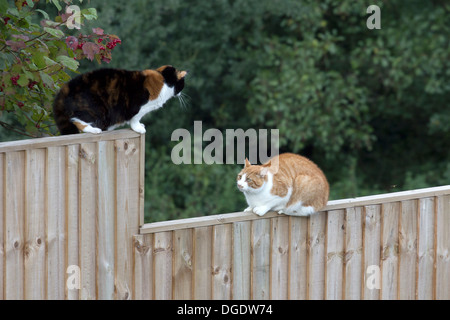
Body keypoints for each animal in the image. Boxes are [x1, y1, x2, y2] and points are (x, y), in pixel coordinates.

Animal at [53, 65, 186, 135]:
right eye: (182, 84)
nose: (181, 93)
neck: (164, 79)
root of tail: (64, 90)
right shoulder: (138, 107)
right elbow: (135, 119)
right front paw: (139, 128)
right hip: (94, 109)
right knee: (76, 119)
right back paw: (94, 129)